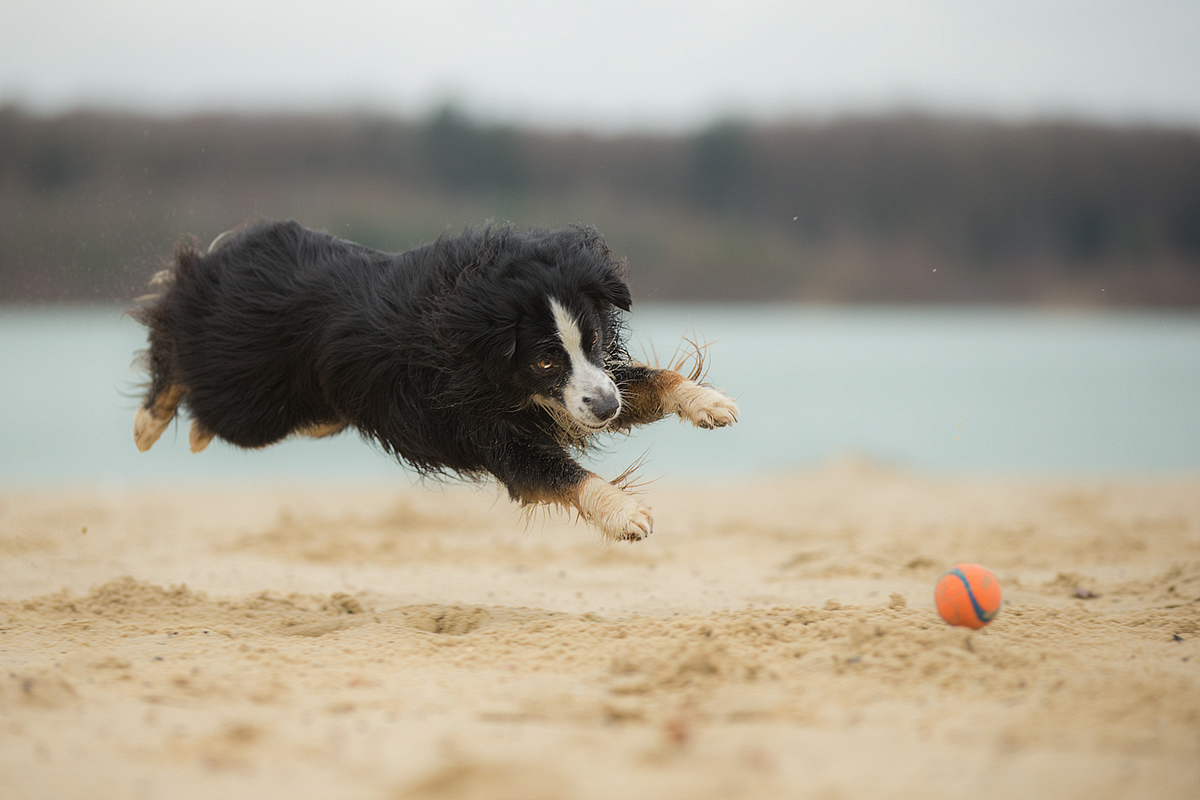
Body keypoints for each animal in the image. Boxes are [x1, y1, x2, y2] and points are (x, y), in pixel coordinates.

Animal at [129, 221, 729, 542]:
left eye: (596, 339)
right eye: (543, 362)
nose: (605, 409)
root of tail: (232, 257)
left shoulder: (566, 396)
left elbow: (644, 381)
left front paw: (710, 403)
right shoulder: (485, 424)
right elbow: (555, 471)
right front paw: (626, 514)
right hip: (251, 392)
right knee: (180, 340)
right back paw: (152, 418)